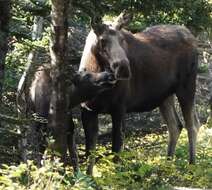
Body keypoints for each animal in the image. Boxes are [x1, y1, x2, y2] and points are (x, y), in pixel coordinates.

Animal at [79, 13, 199, 175]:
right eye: (102, 40)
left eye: (122, 39)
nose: (123, 67)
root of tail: (192, 36)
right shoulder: (88, 110)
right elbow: (89, 152)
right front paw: (88, 178)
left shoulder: (119, 108)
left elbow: (116, 150)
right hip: (165, 96)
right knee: (175, 126)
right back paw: (167, 165)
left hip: (186, 87)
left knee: (192, 125)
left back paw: (192, 165)